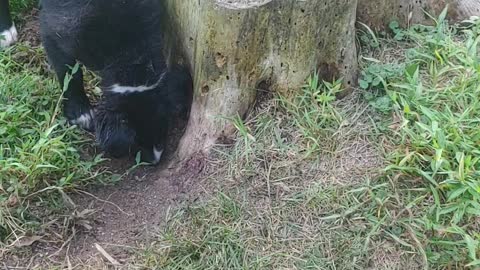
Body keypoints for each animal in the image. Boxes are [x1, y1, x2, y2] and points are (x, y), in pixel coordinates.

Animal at [1, 0, 193, 165]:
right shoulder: (58, 28)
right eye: (136, 140)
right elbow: (67, 70)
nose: (153, 160)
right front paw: (81, 114)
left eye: (162, 129)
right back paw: (6, 32)